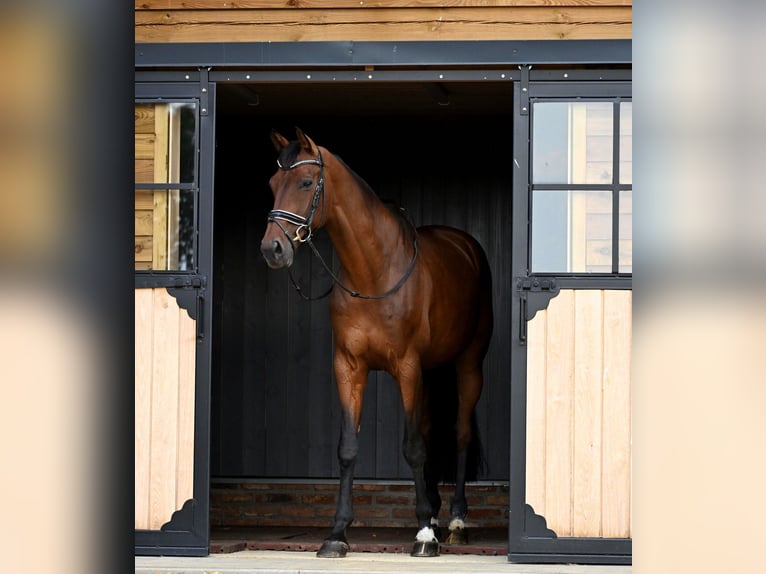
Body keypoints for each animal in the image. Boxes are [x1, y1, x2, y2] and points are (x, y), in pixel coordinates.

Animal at [260, 128, 493, 558]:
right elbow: (349, 449)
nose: (273, 249)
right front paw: (337, 534)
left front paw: (424, 536)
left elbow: (413, 447)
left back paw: (454, 521)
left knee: (460, 435)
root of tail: (465, 245)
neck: (373, 273)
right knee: (431, 431)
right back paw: (436, 514)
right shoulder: (349, 367)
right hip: (430, 374)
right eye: (272, 184)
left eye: (305, 182)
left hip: (468, 366)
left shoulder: (407, 366)